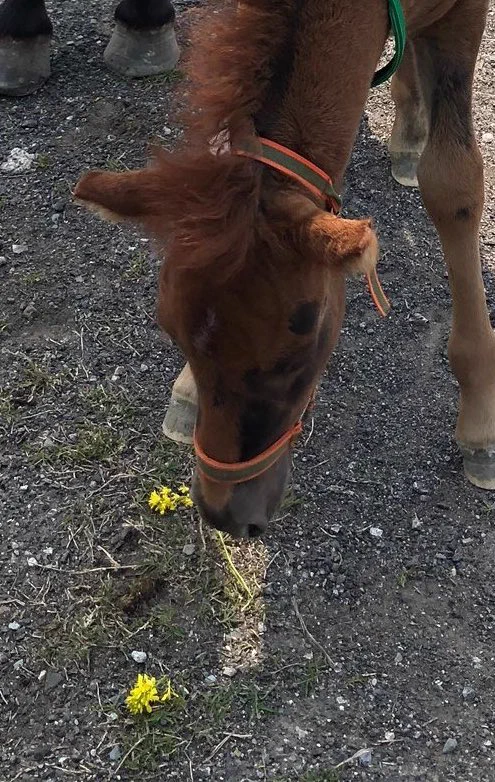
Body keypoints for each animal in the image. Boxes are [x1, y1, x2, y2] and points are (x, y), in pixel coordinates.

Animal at [74, 0, 491, 539]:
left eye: (295, 356)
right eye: (174, 334)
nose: (224, 513)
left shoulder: (467, 14)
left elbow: (454, 185)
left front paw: (480, 416)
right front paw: (186, 392)